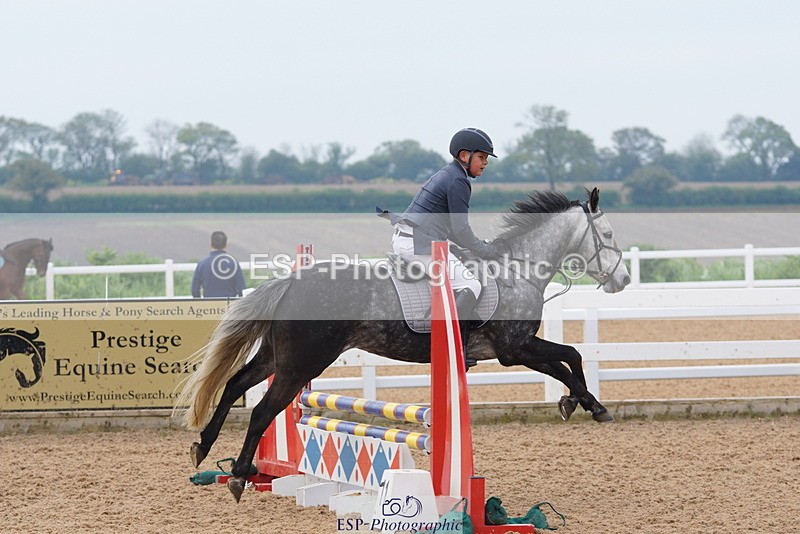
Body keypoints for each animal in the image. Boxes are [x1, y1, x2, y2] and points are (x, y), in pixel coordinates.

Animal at [177, 187, 631, 502]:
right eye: (608, 233)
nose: (624, 281)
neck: (516, 269)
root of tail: (290, 283)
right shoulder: (514, 350)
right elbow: (570, 356)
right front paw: (593, 406)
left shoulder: (518, 350)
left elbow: (564, 363)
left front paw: (576, 402)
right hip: (299, 366)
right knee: (261, 411)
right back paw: (239, 473)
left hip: (277, 358)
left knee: (235, 384)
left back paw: (205, 447)